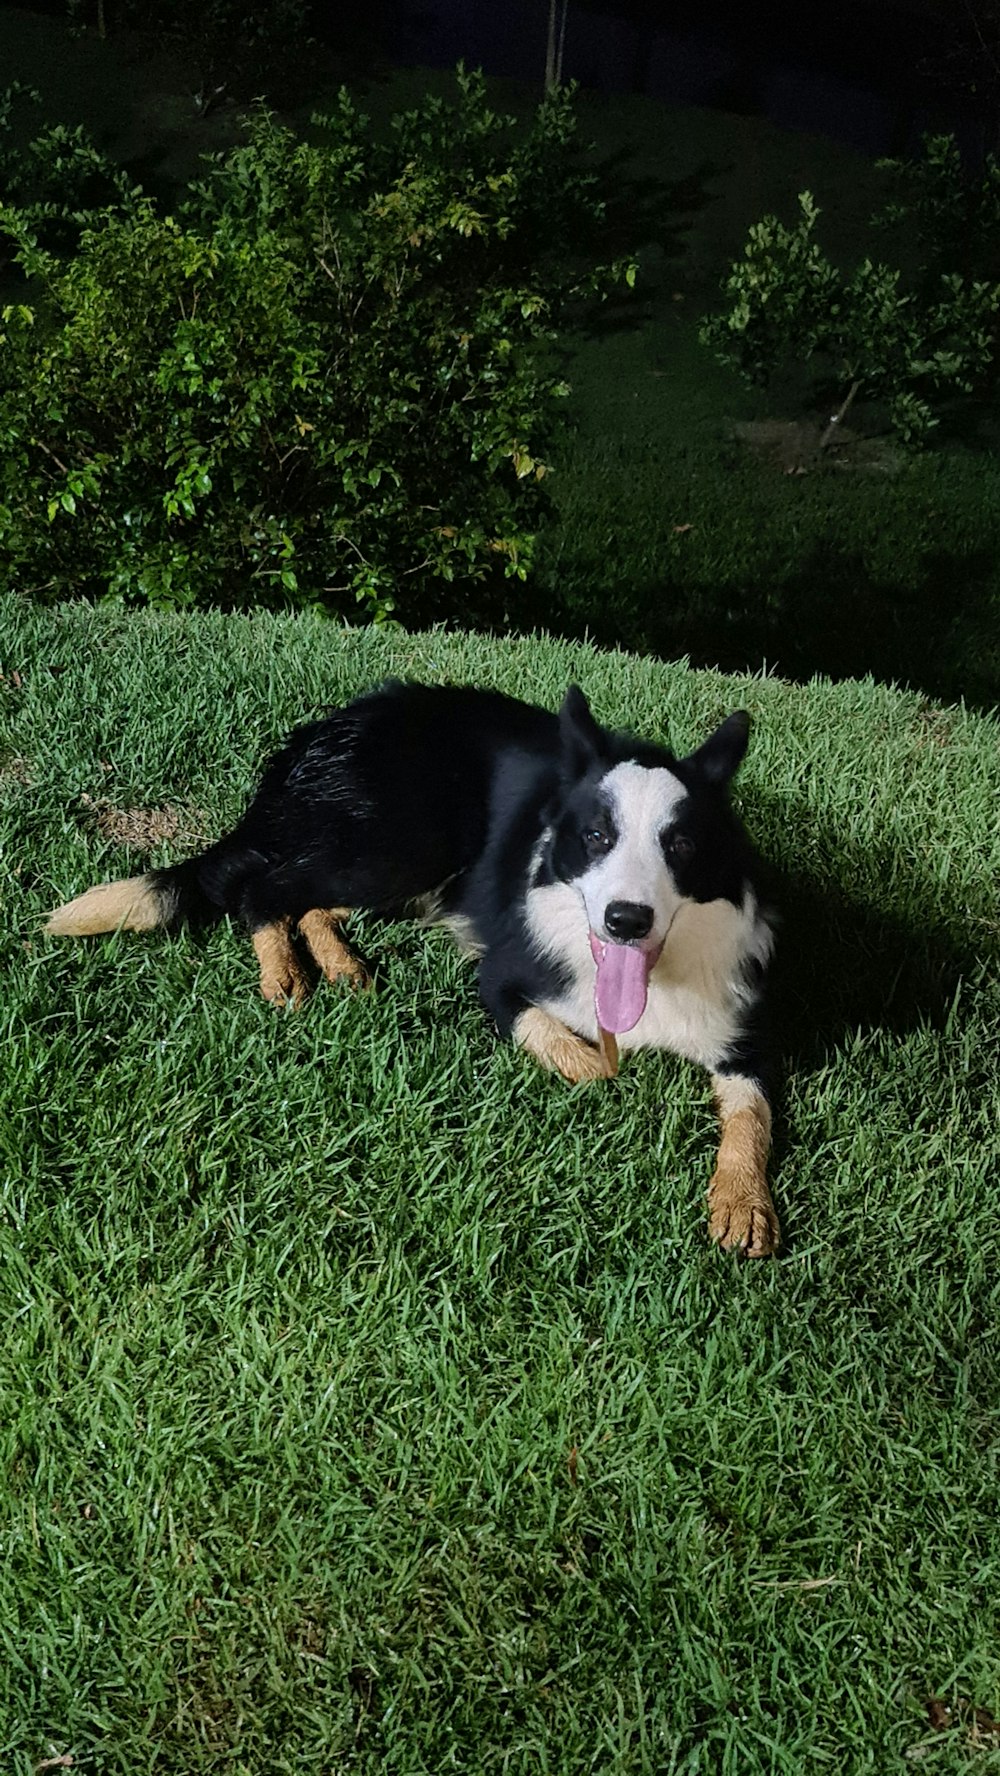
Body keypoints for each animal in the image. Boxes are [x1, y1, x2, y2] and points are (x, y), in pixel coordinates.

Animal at [47, 674, 781, 1250]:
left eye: (681, 846)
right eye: (596, 837)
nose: (626, 921)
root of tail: (322, 731)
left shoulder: (745, 1036)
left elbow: (753, 1114)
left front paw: (743, 1204)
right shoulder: (503, 983)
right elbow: (597, 1066)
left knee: (311, 903)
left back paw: (341, 966)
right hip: (406, 841)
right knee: (260, 888)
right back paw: (283, 973)